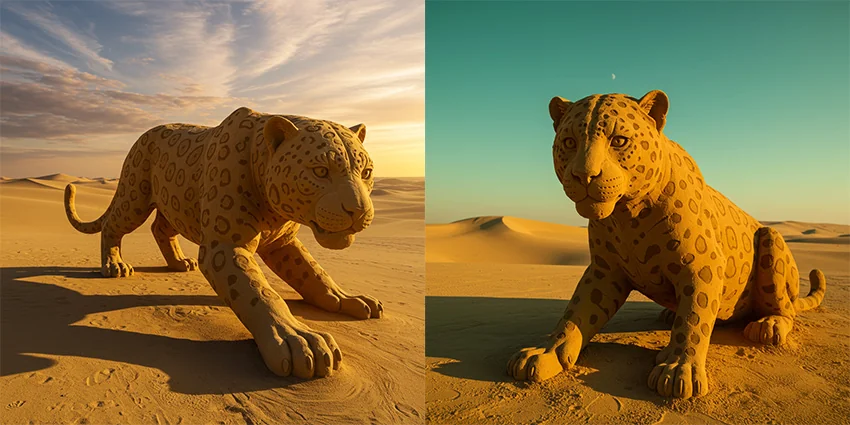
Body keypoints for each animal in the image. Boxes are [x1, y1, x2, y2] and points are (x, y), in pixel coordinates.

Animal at [64, 106, 383, 379]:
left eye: (366, 173)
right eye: (320, 171)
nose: (358, 211)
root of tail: (144, 134)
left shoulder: (282, 244)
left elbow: (314, 273)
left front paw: (347, 299)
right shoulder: (225, 246)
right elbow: (260, 294)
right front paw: (299, 340)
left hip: (174, 202)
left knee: (160, 228)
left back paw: (179, 263)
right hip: (135, 197)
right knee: (112, 225)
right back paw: (114, 265)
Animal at [507, 90, 826, 399]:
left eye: (619, 141)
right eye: (569, 142)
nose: (584, 175)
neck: (627, 216)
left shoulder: (703, 266)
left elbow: (694, 320)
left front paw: (678, 371)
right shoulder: (604, 271)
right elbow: (575, 315)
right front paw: (543, 354)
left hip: (771, 240)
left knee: (785, 309)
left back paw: (767, 326)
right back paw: (670, 314)